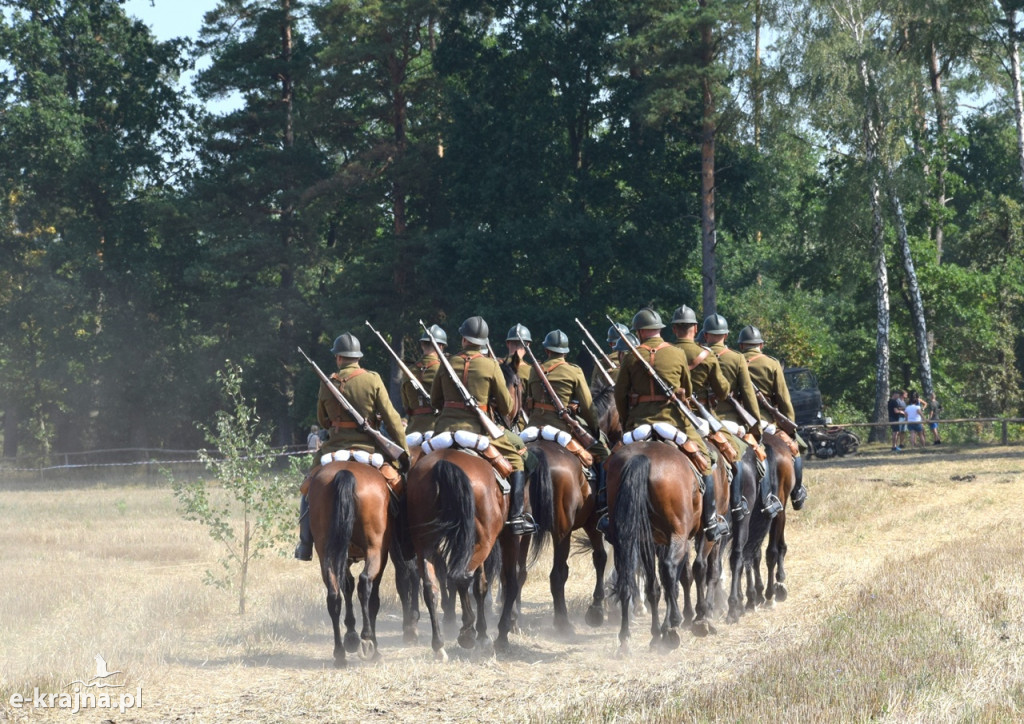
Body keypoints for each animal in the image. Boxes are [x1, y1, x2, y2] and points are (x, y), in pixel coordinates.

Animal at [303, 464, 395, 667]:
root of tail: (345, 473)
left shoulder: (342, 557)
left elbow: (347, 587)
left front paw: (351, 635)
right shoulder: (382, 555)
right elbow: (372, 599)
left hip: (327, 553)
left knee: (334, 595)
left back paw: (339, 653)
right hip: (375, 550)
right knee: (365, 583)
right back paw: (367, 639)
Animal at [403, 450, 524, 659]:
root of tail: (444, 462)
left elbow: (480, 585)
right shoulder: (509, 537)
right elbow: (505, 584)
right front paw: (496, 636)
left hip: (425, 543)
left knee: (431, 588)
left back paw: (439, 644)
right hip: (485, 540)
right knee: (461, 576)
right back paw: (467, 633)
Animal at [528, 438, 606, 630]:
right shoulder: (592, 523)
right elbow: (600, 558)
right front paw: (596, 609)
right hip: (562, 532)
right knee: (558, 574)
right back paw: (563, 622)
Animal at [602, 438, 708, 655]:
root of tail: (641, 457)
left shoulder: (651, 542)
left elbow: (657, 586)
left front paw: (658, 633)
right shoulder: (692, 535)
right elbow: (690, 573)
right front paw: (696, 617)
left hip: (631, 541)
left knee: (629, 580)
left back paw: (626, 640)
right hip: (678, 536)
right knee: (668, 570)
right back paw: (673, 626)